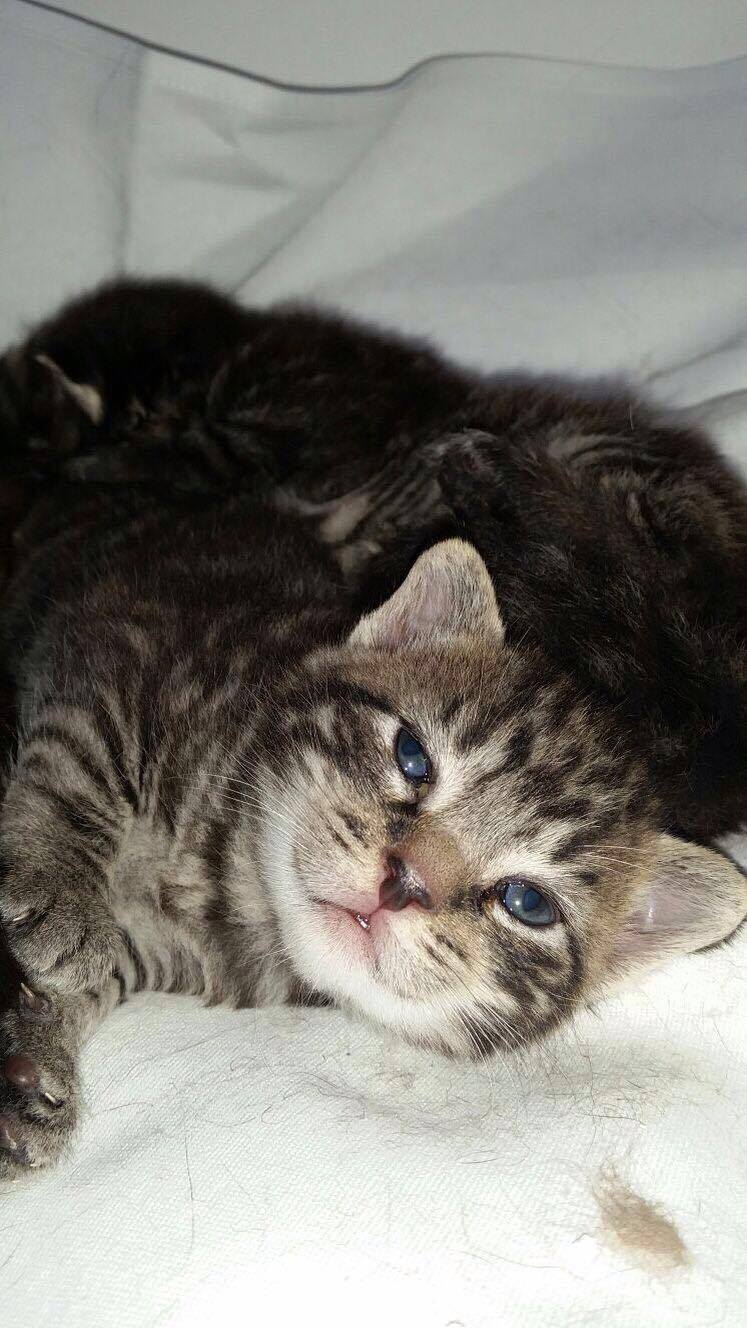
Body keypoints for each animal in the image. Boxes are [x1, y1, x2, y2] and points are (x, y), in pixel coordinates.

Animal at [0, 279, 745, 1178]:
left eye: (525, 903)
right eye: (412, 758)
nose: (405, 882)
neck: (224, 876)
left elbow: (106, 956)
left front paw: (35, 1056)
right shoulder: (120, 640)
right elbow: (77, 764)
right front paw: (55, 893)